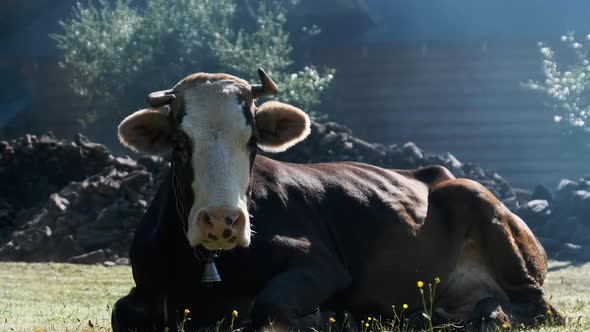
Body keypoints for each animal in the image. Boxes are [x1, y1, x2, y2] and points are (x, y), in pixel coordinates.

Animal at [112, 68, 564, 330]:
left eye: (252, 140)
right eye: (180, 144)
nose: (222, 220)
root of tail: (437, 174)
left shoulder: (322, 266)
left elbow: (268, 307)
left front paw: (333, 317)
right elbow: (121, 311)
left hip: (485, 212)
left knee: (538, 309)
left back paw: (491, 316)